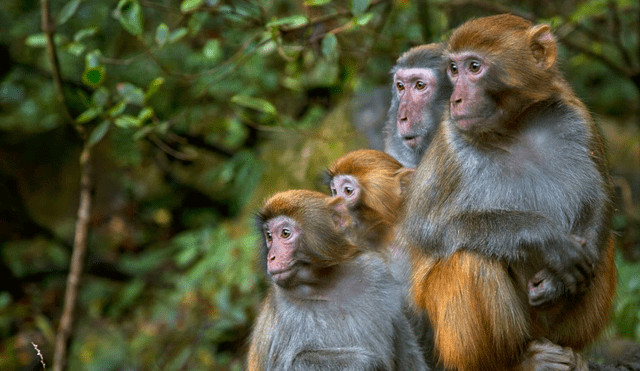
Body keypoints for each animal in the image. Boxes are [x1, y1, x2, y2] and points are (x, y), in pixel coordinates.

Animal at [248, 192, 428, 371]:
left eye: (285, 233)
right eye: (269, 236)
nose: (271, 257)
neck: (327, 283)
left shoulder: (378, 275)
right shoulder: (284, 310)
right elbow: (288, 364)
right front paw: (367, 362)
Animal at [398, 14, 616, 371]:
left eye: (474, 67)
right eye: (453, 70)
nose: (456, 99)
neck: (513, 127)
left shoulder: (577, 118)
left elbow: (600, 198)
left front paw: (556, 282)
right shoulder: (450, 143)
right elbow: (426, 229)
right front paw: (545, 238)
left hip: (551, 326)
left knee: (603, 246)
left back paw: (571, 352)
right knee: (469, 257)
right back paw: (515, 362)